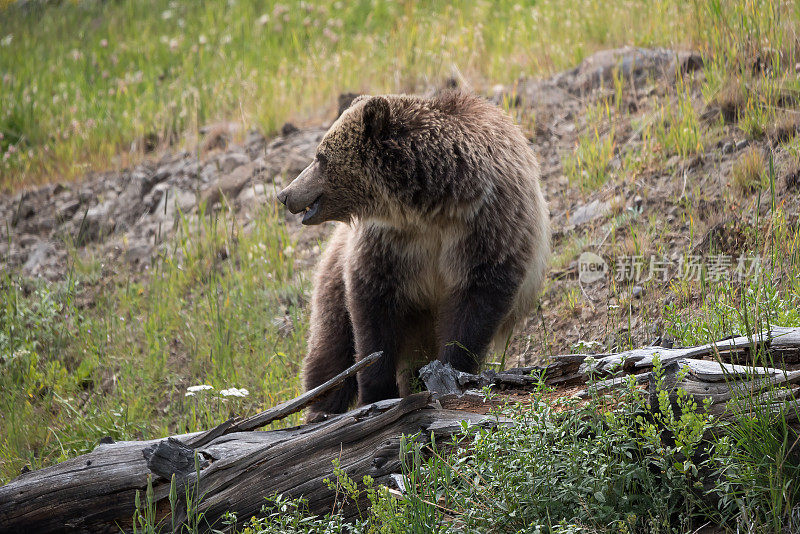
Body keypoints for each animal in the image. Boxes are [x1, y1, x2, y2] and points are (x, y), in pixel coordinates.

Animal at [276, 91, 552, 422]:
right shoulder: (389, 244)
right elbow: (372, 312)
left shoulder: (488, 225)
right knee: (332, 345)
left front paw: (452, 374)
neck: (433, 206)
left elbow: (475, 307)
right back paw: (321, 410)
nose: (285, 194)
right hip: (335, 276)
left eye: (320, 157)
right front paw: (377, 393)